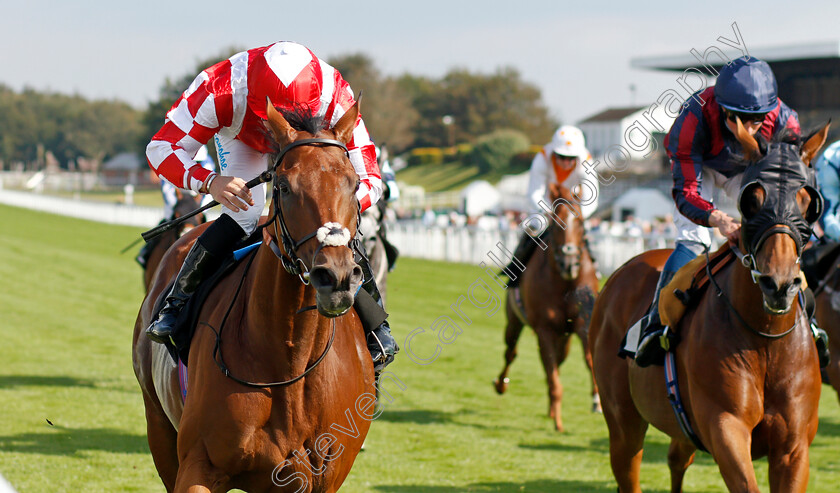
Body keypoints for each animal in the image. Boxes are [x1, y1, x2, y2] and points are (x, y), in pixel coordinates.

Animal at [132, 100, 374, 492]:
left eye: (353, 185)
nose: (335, 276)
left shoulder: (322, 477)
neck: (290, 361)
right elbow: (164, 145)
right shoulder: (198, 464)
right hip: (158, 425)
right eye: (285, 186)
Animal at [496, 182, 600, 430]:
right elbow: (552, 374)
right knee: (511, 353)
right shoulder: (544, 329)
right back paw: (501, 384)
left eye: (580, 222)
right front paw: (558, 422)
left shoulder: (583, 322)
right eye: (555, 222)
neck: (564, 282)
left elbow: (589, 359)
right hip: (514, 321)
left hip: (564, 336)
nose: (569, 263)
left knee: (557, 362)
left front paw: (596, 399)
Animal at [588, 121, 832, 490]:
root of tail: (622, 270)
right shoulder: (725, 426)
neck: (766, 339)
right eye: (751, 199)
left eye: (807, 201)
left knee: (676, 460)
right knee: (628, 467)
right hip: (622, 421)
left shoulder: (794, 447)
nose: (778, 284)